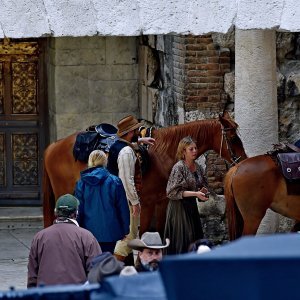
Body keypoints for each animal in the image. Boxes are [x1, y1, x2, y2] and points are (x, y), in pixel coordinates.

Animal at [43, 111, 247, 233]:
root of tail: (52, 146)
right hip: (63, 194)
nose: (243, 159)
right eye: (232, 137)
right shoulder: (147, 203)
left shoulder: (163, 200)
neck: (164, 153)